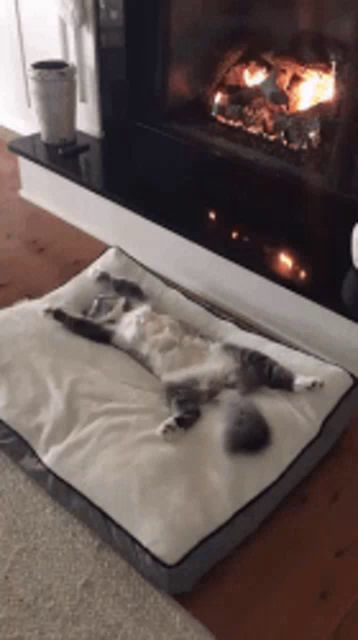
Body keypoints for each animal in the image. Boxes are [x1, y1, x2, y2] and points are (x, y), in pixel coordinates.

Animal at [44, 270, 324, 456]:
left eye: (96, 302)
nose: (93, 308)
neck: (124, 316)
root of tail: (224, 383)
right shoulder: (104, 332)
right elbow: (75, 322)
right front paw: (53, 311)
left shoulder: (138, 300)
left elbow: (122, 283)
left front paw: (97, 274)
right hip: (180, 390)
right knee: (192, 415)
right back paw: (169, 428)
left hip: (243, 355)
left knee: (281, 376)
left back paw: (310, 382)